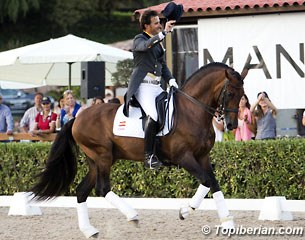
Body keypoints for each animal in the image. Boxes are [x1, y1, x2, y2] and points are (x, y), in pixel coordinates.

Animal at [30, 62, 243, 238]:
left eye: (242, 96)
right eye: (230, 94)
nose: (232, 125)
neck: (192, 111)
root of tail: (77, 118)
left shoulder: (203, 156)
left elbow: (214, 184)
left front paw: (228, 224)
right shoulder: (184, 157)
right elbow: (206, 181)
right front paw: (184, 211)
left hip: (96, 161)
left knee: (82, 191)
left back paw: (90, 231)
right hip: (102, 156)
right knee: (102, 188)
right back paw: (132, 215)